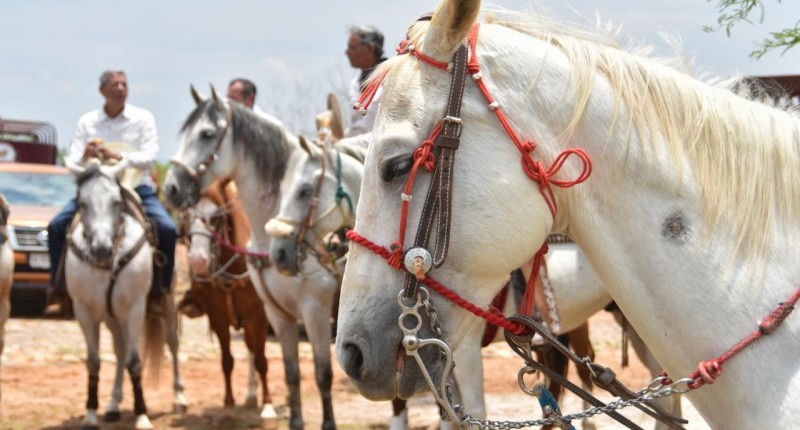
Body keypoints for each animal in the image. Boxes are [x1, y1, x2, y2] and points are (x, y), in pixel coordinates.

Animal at [65, 158, 187, 429]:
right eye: (81, 203)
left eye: (116, 202)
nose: (101, 249)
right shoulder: (84, 310)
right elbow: (94, 361)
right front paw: (91, 415)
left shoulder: (134, 308)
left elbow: (134, 361)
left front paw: (142, 416)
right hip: (112, 316)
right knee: (119, 350)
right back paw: (113, 404)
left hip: (167, 303)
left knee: (172, 342)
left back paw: (180, 397)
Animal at [179, 179, 276, 420]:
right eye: (187, 215)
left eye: (215, 218)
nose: (197, 261)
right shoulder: (218, 317)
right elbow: (227, 361)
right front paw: (230, 404)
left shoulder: (259, 316)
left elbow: (262, 360)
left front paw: (268, 405)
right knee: (250, 349)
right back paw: (250, 396)